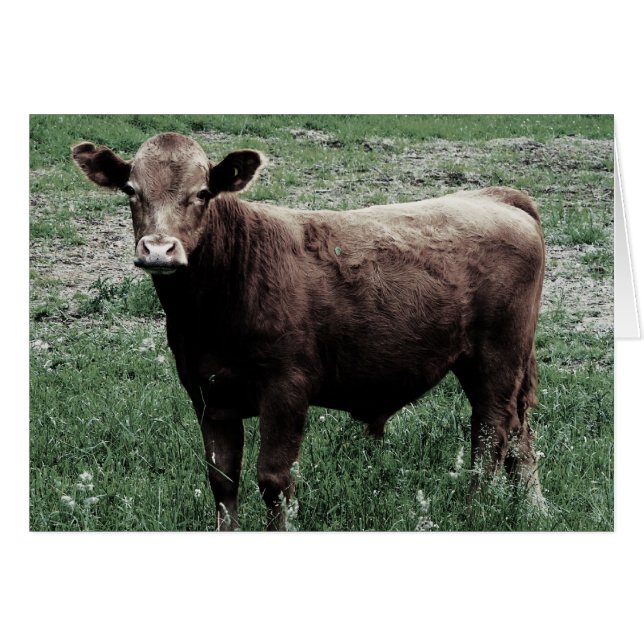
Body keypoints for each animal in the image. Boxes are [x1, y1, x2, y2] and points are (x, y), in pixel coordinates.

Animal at [72, 132, 546, 530]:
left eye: (203, 193)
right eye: (131, 190)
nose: (158, 250)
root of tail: (494, 196)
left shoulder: (286, 389)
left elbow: (274, 480)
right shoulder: (208, 394)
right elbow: (222, 479)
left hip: (496, 359)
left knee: (490, 437)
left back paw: (475, 513)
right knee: (519, 433)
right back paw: (534, 508)